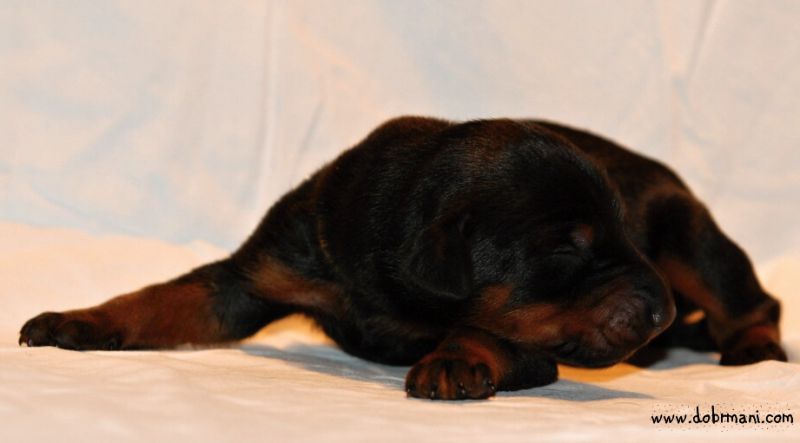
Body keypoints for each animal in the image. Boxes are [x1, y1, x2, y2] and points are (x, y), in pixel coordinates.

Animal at [19, 117, 787, 400]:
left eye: (616, 235)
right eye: (567, 245)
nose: (660, 314)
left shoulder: (533, 349)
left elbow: (484, 325)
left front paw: (458, 356)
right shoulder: (258, 274)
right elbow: (163, 298)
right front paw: (78, 320)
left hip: (690, 237)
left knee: (755, 297)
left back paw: (751, 346)